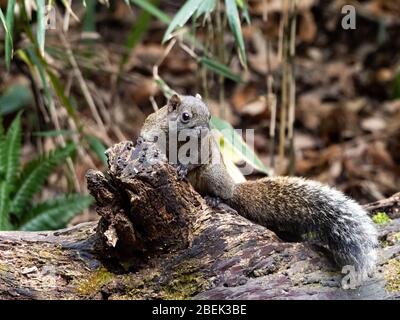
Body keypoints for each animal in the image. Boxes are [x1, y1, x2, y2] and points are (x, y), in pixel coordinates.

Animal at [140, 93, 378, 280]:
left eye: (209, 116)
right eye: (185, 116)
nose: (206, 130)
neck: (177, 140)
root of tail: (232, 185)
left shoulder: (202, 149)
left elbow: (195, 159)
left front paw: (181, 168)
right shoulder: (153, 128)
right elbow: (146, 139)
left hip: (213, 174)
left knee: (224, 194)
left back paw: (216, 198)